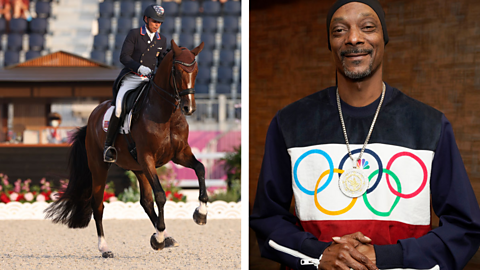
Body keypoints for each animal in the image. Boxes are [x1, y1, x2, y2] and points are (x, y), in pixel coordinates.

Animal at [45, 39, 208, 258]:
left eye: (195, 71)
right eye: (178, 71)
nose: (189, 108)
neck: (166, 114)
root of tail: (93, 116)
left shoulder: (180, 154)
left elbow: (200, 169)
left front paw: (201, 214)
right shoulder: (148, 158)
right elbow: (161, 195)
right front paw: (158, 238)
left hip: (138, 168)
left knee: (145, 202)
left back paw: (165, 237)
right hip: (100, 167)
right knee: (98, 204)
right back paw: (106, 248)